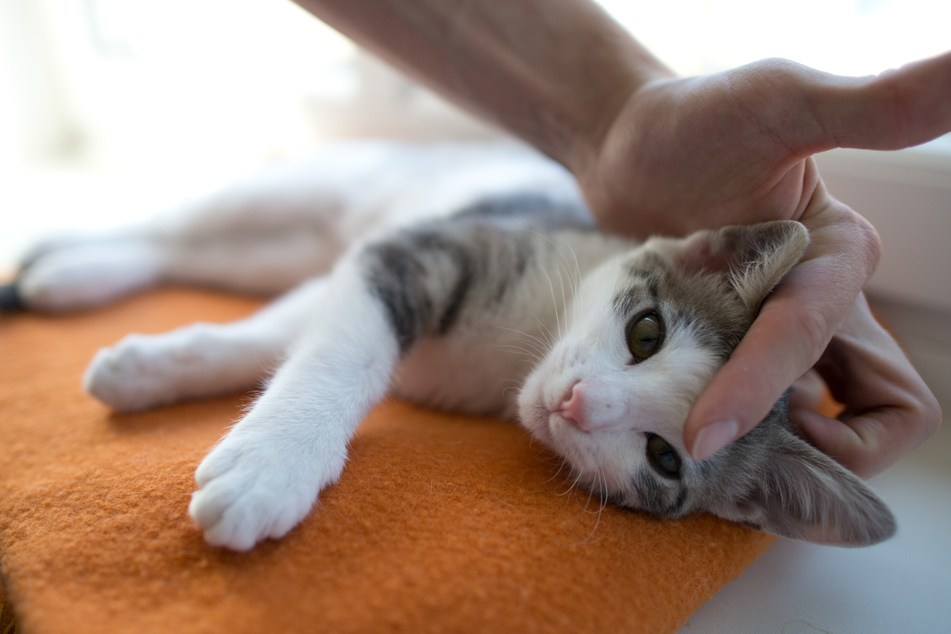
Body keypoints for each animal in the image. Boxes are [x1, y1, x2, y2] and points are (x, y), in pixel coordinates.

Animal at [3, 139, 896, 548]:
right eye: (645, 332)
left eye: (664, 459)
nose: (579, 402)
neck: (518, 349)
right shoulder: (419, 248)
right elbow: (341, 353)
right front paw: (274, 464)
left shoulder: (363, 263)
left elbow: (279, 331)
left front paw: (151, 370)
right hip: (312, 187)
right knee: (176, 224)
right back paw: (70, 260)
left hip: (290, 245)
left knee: (202, 255)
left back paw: (73, 276)